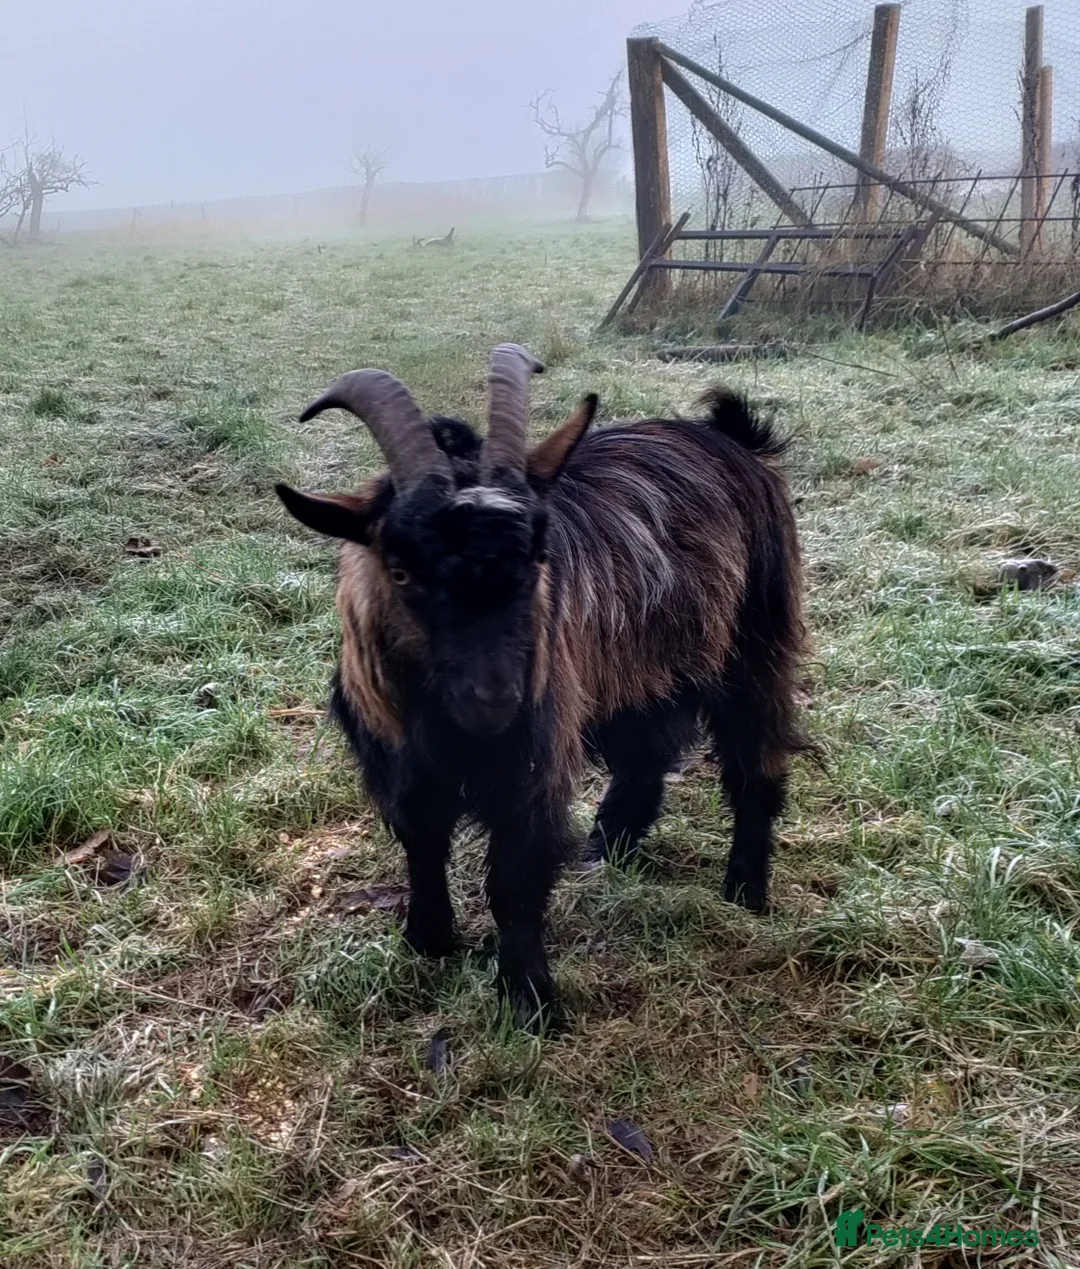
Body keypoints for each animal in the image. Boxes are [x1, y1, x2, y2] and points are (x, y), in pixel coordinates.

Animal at [275, 346, 808, 1030]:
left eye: (536, 555)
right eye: (400, 570)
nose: (497, 699)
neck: (449, 730)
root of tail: (731, 437)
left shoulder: (532, 764)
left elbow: (516, 878)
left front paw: (528, 1002)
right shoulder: (402, 766)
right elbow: (422, 844)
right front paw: (428, 940)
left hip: (753, 644)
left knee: (754, 762)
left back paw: (744, 889)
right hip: (633, 675)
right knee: (644, 758)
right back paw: (606, 850)